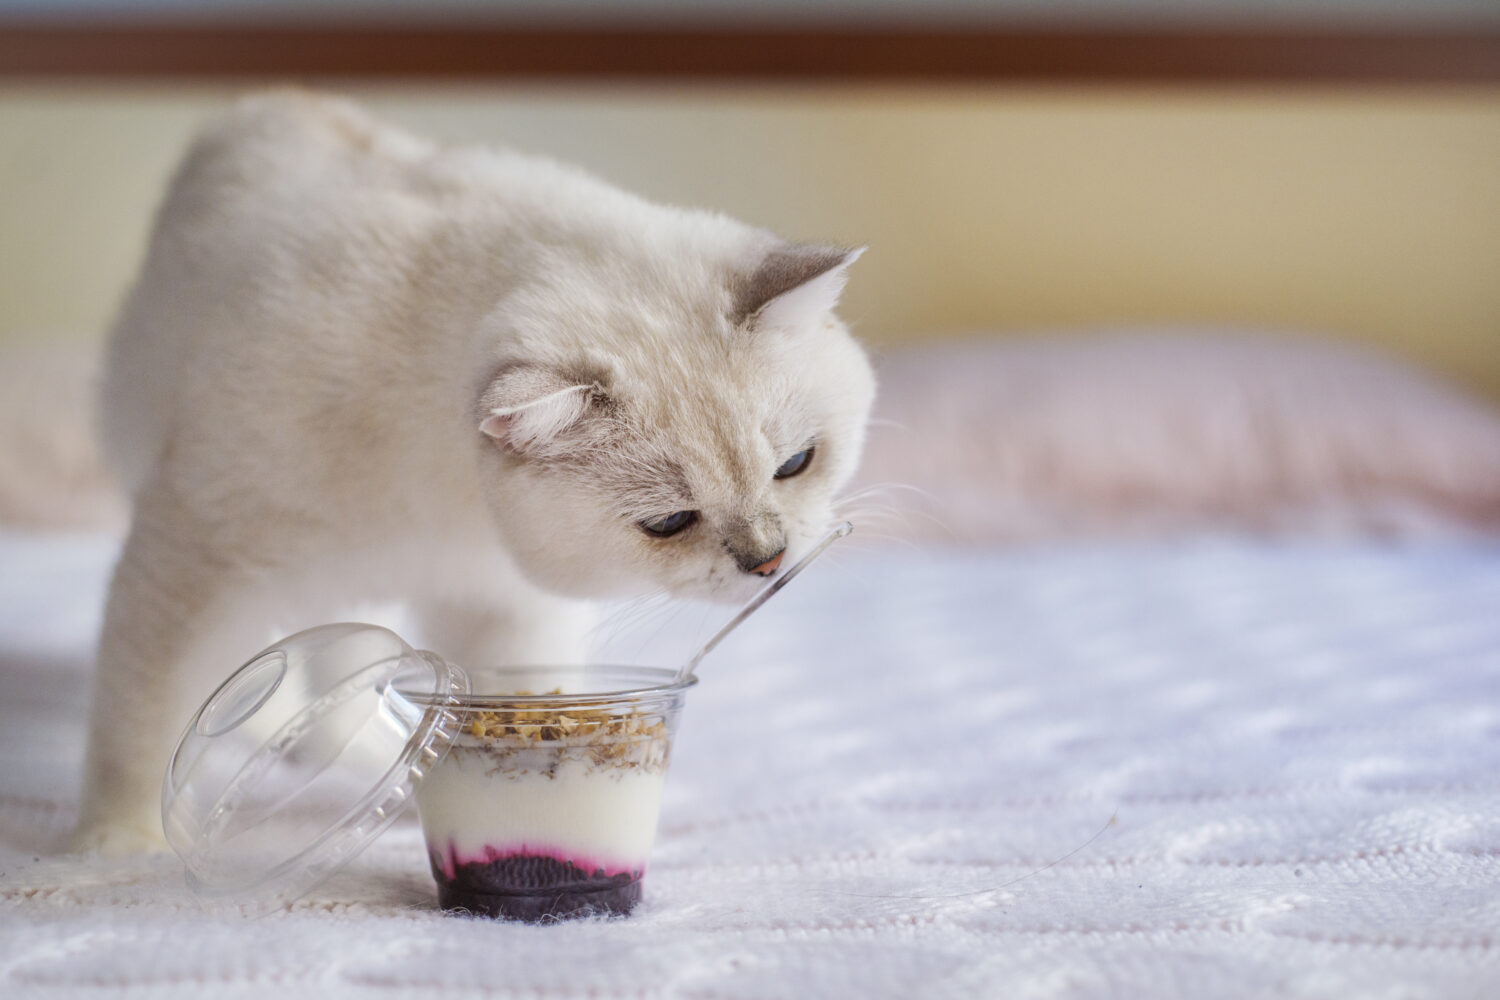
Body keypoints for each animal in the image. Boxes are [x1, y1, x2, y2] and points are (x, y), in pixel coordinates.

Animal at [73, 91, 876, 851]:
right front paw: (122, 848)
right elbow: (146, 716)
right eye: (670, 522)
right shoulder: (196, 560)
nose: (769, 563)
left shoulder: (500, 606)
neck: (451, 498)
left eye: (795, 464)